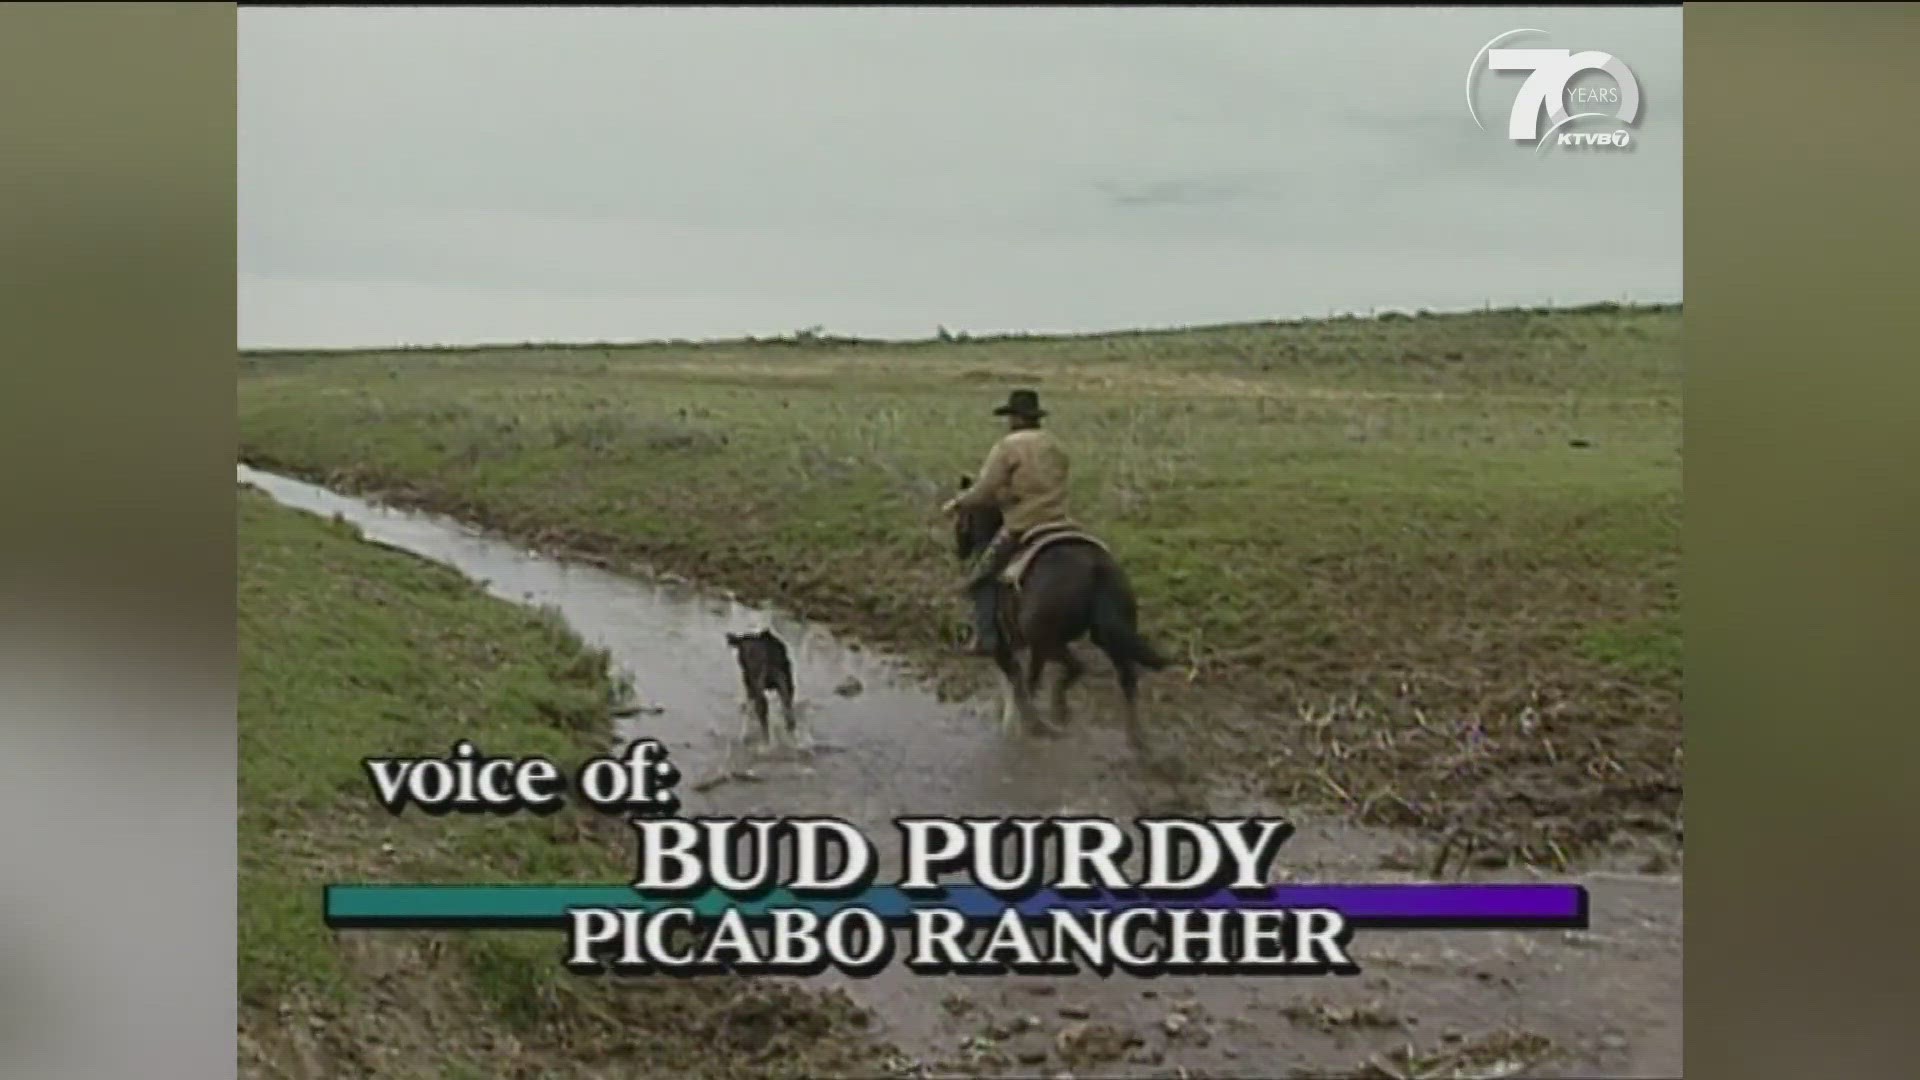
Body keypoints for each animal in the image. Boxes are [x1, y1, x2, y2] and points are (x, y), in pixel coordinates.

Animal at [948, 474, 1159, 745]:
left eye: (961, 515)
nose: (959, 551)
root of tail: (1095, 568)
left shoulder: (1003, 647)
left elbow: (1017, 682)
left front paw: (1021, 723)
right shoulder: (1023, 648)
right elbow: (1021, 682)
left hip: (1046, 640)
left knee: (1073, 667)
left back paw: (1055, 712)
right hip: (1109, 636)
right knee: (1126, 679)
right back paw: (1136, 739)